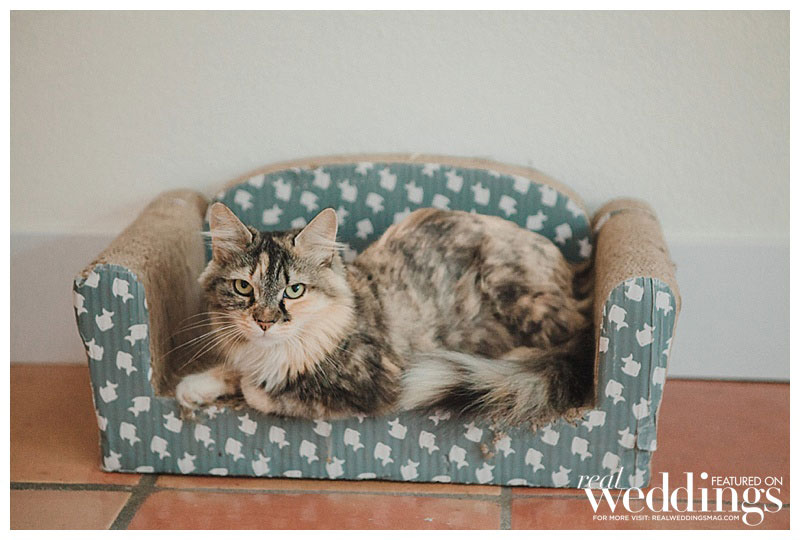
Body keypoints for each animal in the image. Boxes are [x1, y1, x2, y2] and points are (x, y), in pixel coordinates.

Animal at [175, 202, 594, 426]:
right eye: (243, 288)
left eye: (295, 290)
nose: (263, 322)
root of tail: (572, 273)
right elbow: (233, 370)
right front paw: (193, 388)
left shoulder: (371, 387)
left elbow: (261, 392)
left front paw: (253, 385)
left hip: (517, 296)